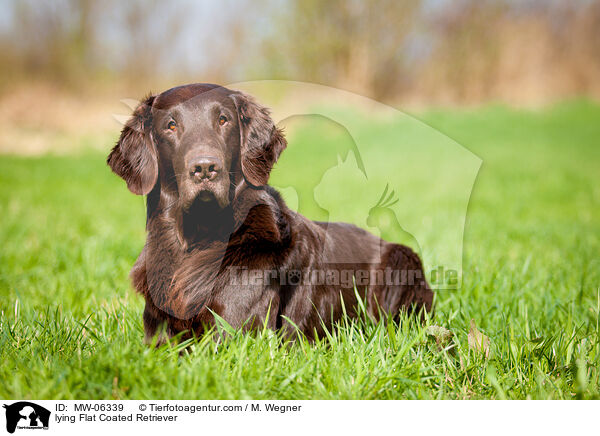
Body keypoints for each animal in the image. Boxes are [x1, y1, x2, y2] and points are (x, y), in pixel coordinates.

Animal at [106, 82, 432, 344]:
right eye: (170, 125)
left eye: (223, 120)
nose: (205, 168)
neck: (196, 239)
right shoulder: (156, 332)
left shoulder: (233, 336)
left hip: (401, 260)